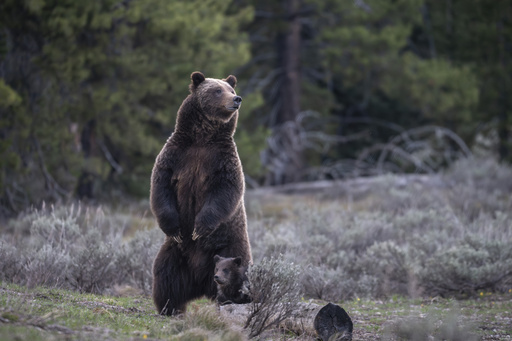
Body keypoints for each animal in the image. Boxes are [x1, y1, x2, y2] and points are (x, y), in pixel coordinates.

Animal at [150, 71, 252, 314]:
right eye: (217, 90)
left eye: (231, 90)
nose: (237, 99)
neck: (202, 138)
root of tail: (201, 282)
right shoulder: (176, 155)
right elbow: (161, 187)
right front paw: (175, 228)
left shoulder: (222, 160)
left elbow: (225, 191)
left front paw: (199, 228)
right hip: (176, 253)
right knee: (165, 275)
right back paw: (169, 307)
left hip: (231, 247)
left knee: (238, 274)